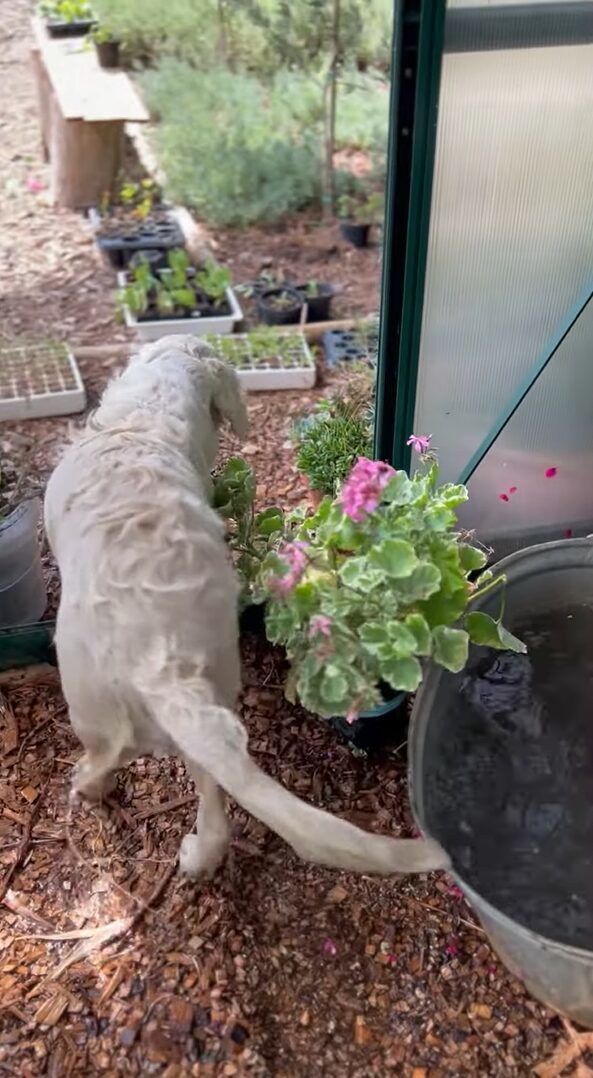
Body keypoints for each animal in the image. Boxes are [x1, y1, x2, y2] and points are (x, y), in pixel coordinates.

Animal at [44, 336, 448, 875]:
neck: (147, 418)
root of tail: (160, 667)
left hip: (92, 707)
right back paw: (199, 858)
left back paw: (88, 788)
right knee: (215, 807)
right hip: (213, 691)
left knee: (102, 760)